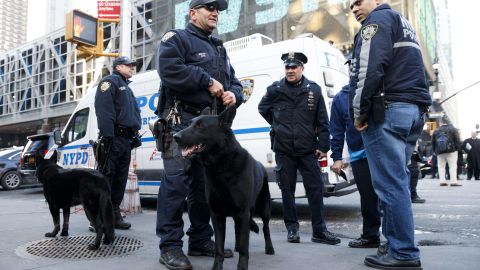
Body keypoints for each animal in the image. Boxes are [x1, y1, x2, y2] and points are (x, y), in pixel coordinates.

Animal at [174, 104, 276, 268]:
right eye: (189, 124)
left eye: (200, 126)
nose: (175, 136)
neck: (221, 167)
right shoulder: (217, 215)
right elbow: (219, 248)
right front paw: (217, 267)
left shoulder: (243, 212)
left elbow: (245, 248)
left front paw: (242, 266)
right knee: (238, 230)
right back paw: (236, 246)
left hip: (264, 208)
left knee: (265, 228)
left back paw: (269, 248)